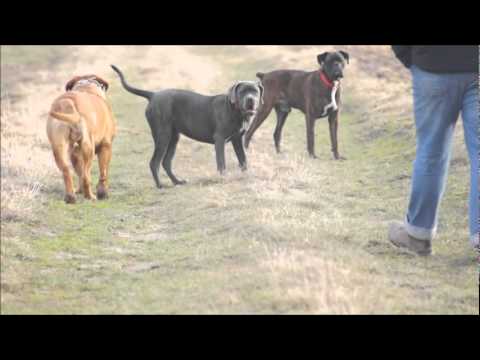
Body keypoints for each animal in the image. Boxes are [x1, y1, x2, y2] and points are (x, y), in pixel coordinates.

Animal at [47, 74, 116, 202]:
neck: (87, 87)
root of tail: (68, 103)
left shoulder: (74, 153)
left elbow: (78, 171)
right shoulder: (106, 145)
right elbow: (103, 172)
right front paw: (103, 192)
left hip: (59, 147)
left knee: (67, 170)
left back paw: (70, 197)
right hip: (88, 147)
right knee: (85, 175)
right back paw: (90, 196)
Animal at [111, 64, 264, 188]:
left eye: (255, 91)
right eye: (242, 91)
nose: (250, 100)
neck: (236, 111)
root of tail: (153, 95)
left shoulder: (237, 140)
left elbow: (243, 160)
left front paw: (246, 176)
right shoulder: (219, 140)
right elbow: (222, 162)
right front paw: (223, 178)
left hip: (173, 137)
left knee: (166, 162)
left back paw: (177, 181)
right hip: (163, 135)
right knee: (154, 162)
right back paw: (160, 185)